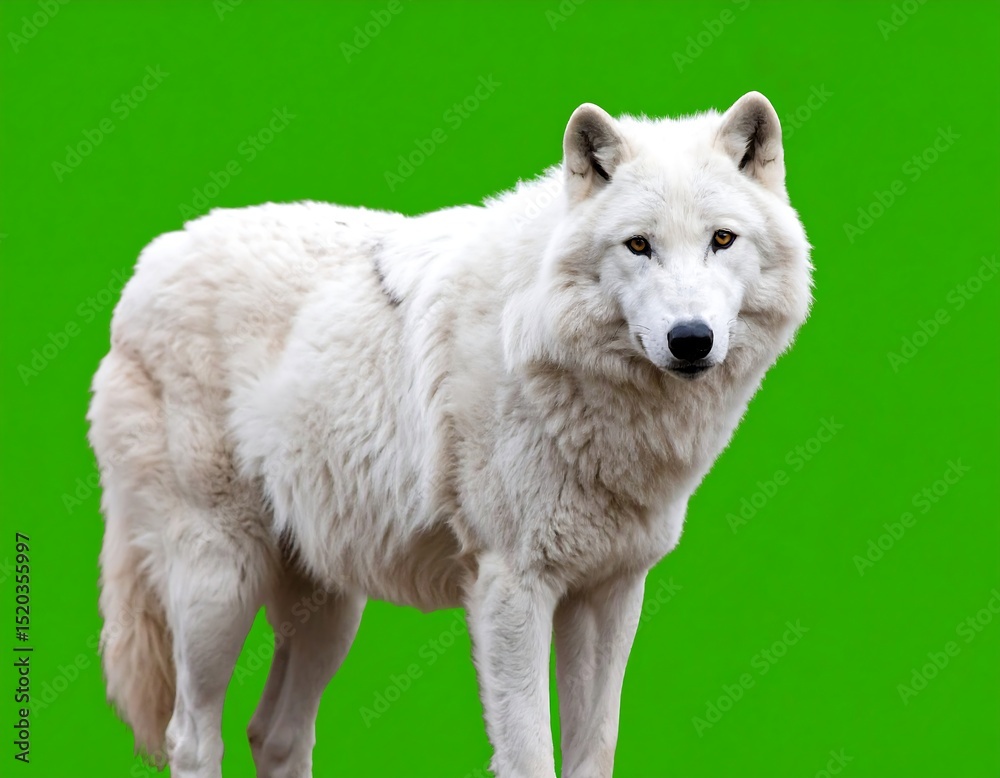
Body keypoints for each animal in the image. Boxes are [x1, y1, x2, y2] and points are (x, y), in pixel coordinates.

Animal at [87, 92, 811, 777]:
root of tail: (146, 266)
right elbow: (530, 757)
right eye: (639, 245)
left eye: (722, 239)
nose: (691, 339)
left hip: (330, 607)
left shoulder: (609, 592)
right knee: (190, 736)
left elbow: (594, 751)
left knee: (274, 734)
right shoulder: (510, 589)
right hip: (219, 583)